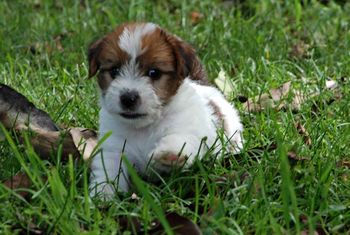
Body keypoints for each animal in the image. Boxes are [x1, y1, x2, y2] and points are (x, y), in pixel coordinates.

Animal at [87, 23, 243, 197]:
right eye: (114, 71)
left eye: (154, 73)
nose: (128, 98)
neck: (143, 127)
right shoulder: (113, 148)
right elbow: (108, 170)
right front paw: (103, 194)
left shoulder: (186, 129)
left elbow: (178, 139)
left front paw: (170, 155)